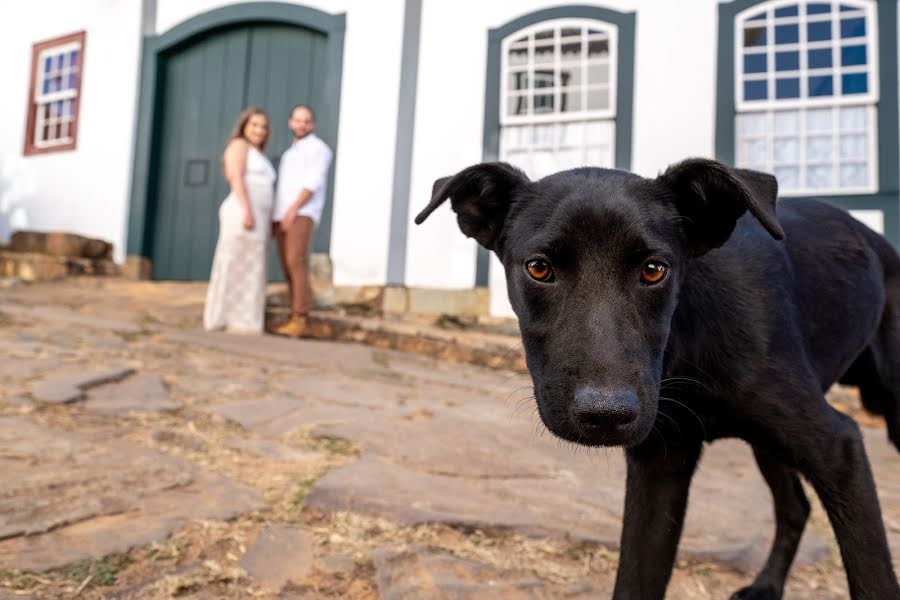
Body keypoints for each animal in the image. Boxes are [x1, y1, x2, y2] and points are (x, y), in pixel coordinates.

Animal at [418, 159, 900, 600]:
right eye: (538, 268)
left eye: (654, 270)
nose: (605, 416)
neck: (686, 347)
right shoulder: (660, 463)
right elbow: (636, 579)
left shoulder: (839, 448)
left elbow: (873, 575)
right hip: (768, 443)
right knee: (795, 507)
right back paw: (765, 587)